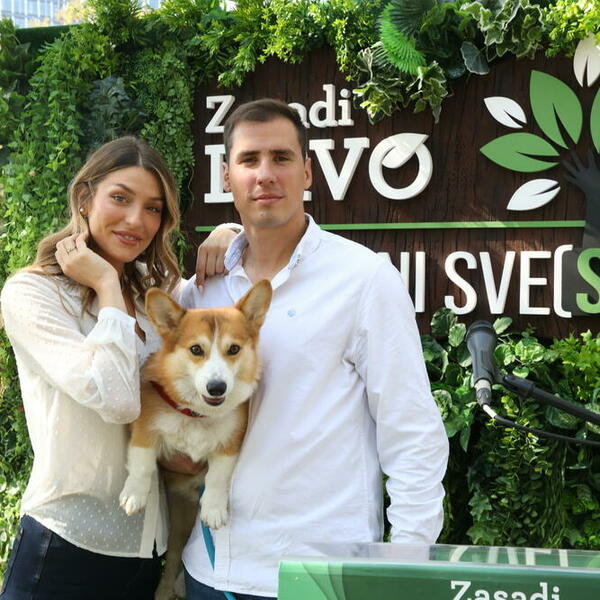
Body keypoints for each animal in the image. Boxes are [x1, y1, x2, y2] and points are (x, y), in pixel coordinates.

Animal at [119, 280, 272, 600]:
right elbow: (141, 464)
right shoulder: (144, 430)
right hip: (178, 527)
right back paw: (166, 590)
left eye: (233, 349)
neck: (197, 414)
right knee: (174, 557)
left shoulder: (230, 444)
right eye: (196, 350)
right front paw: (134, 495)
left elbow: (217, 476)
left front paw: (213, 509)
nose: (217, 387)